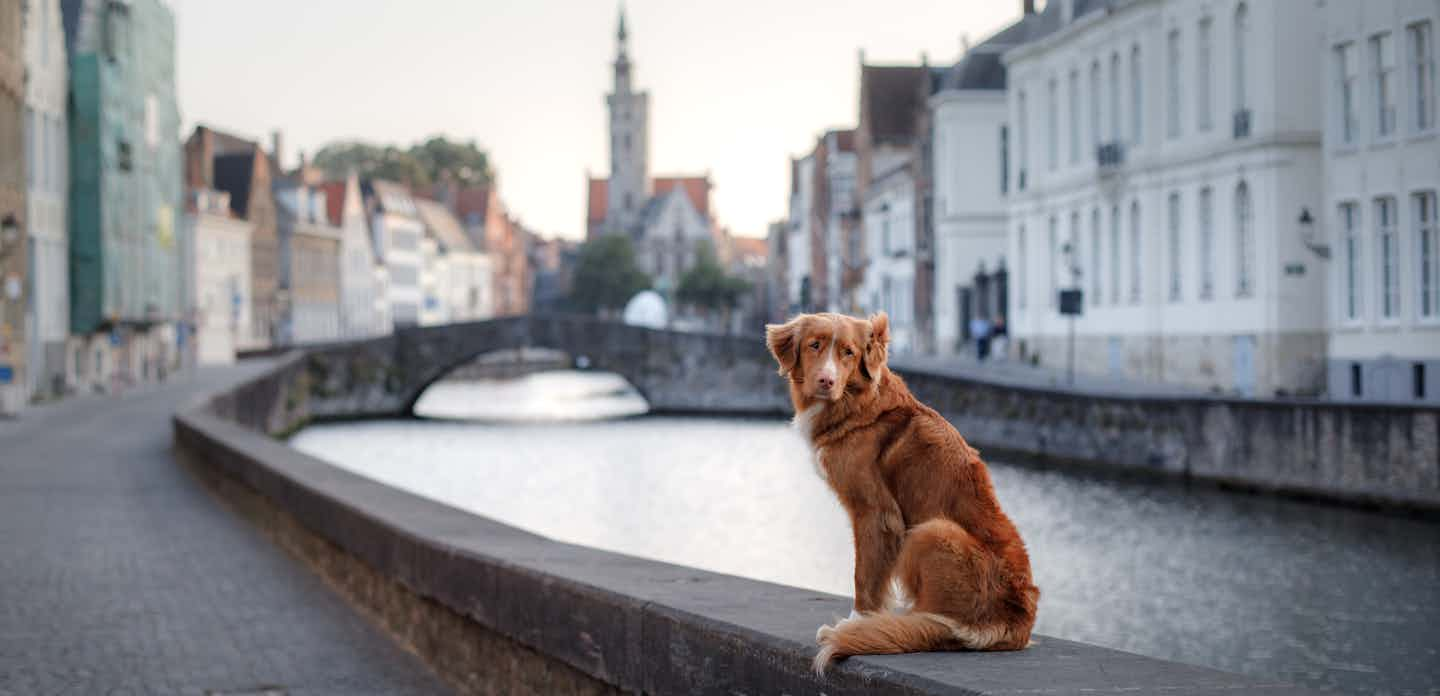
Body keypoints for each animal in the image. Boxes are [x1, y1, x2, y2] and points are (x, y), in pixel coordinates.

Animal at [766, 311, 1036, 674]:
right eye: (814, 345)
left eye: (849, 352)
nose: (826, 380)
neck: (857, 403)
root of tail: (1017, 624)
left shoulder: (875, 513)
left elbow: (865, 577)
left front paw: (857, 623)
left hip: (931, 531)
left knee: (942, 625)